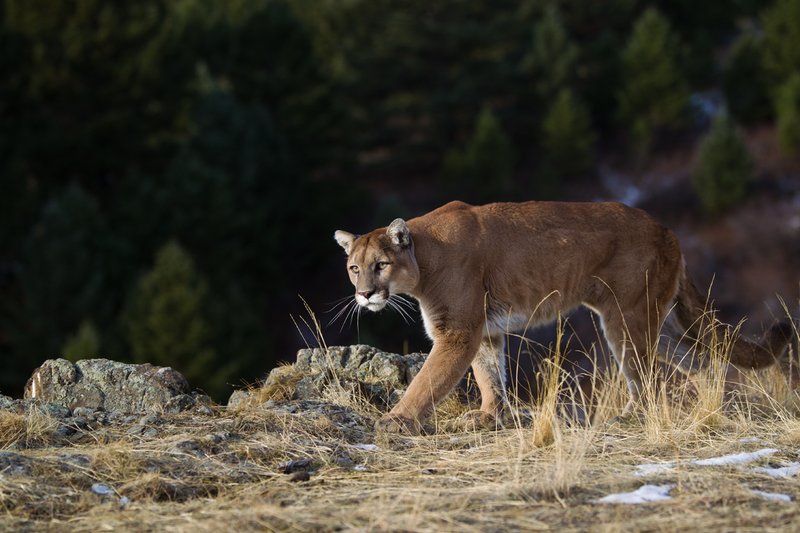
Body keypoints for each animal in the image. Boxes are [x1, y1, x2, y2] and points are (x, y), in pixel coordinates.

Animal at [334, 201, 795, 434]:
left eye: (380, 265)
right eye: (354, 267)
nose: (364, 294)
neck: (425, 257)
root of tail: (667, 229)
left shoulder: (458, 331)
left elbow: (428, 380)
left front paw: (396, 420)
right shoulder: (483, 331)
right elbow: (489, 374)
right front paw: (489, 415)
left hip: (627, 317)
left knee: (648, 375)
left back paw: (632, 415)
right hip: (650, 319)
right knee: (690, 360)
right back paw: (704, 401)